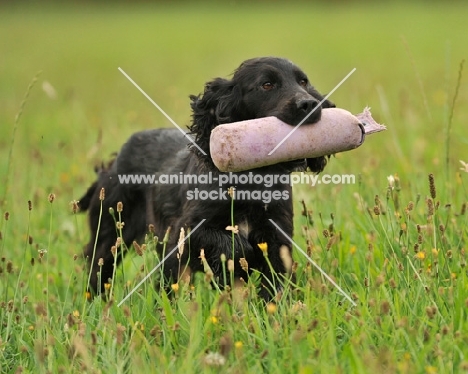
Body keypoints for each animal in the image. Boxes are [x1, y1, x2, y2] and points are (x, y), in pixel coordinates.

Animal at [78, 57, 334, 298]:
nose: (309, 104)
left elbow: (274, 282)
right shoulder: (185, 231)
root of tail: (115, 160)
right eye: (267, 84)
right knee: (99, 270)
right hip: (109, 233)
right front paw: (240, 265)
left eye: (303, 82)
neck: (250, 180)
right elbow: (234, 246)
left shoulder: (277, 235)